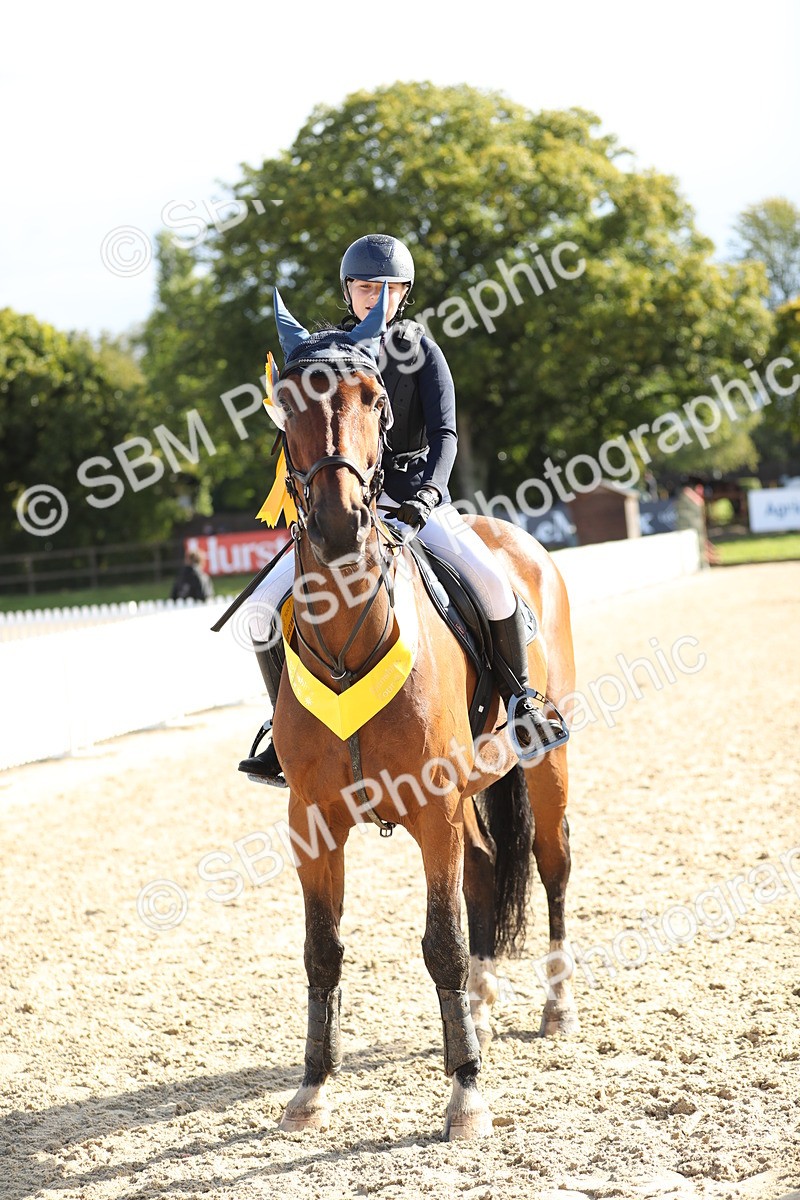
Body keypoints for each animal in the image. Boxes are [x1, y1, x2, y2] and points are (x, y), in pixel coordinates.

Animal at [262, 311, 578, 1142]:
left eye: (373, 398)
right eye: (285, 402)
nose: (339, 523)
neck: (349, 636)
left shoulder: (433, 807)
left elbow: (442, 944)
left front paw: (466, 1092)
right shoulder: (313, 819)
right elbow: (322, 950)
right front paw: (313, 1086)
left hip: (545, 765)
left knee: (550, 865)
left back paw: (555, 1008)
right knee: (487, 867)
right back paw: (483, 1008)